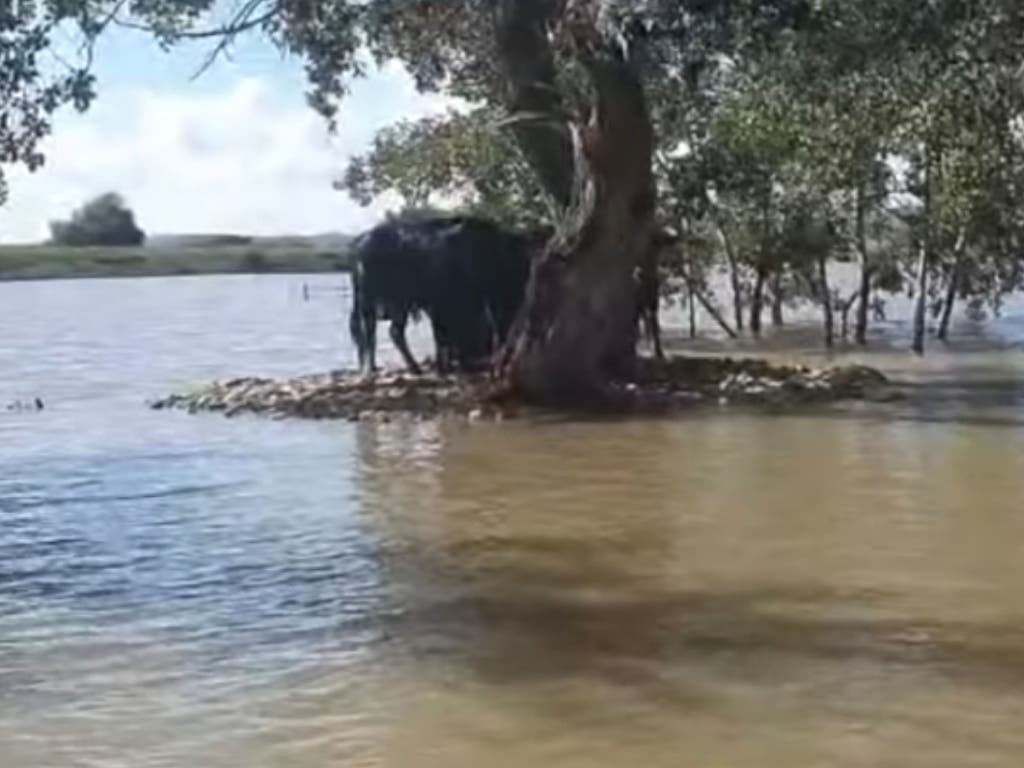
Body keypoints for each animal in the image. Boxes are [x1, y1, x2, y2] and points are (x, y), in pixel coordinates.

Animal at [348, 217, 675, 376]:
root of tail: (360, 242)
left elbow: (453, 335)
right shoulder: (450, 304)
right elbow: (450, 336)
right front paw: (449, 366)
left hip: (383, 303)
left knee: (378, 333)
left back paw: (380, 367)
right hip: (384, 302)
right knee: (383, 332)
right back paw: (398, 368)